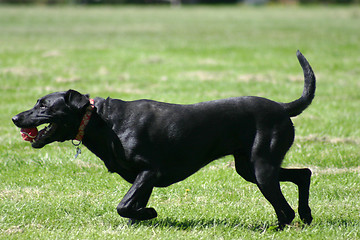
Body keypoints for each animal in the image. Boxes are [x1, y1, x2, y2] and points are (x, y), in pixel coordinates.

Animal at [11, 50, 316, 227]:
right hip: (249, 168)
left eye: (44, 106)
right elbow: (131, 206)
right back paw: (306, 215)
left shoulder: (149, 171)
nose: (14, 118)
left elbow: (124, 205)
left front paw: (150, 214)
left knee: (285, 207)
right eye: (36, 103)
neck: (103, 122)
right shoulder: (142, 178)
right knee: (304, 174)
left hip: (261, 168)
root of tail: (282, 108)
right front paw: (141, 220)